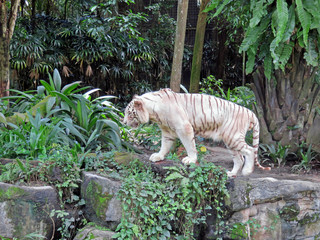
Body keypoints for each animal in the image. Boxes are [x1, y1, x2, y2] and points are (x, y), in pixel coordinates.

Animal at [123, 88, 270, 176]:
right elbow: (164, 145)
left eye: (130, 114)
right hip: (230, 141)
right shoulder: (167, 131)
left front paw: (191, 160)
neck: (154, 112)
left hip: (232, 137)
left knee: (250, 150)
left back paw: (247, 171)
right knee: (239, 158)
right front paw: (158, 156)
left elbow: (189, 145)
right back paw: (231, 174)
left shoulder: (184, 127)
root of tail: (250, 112)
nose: (123, 123)